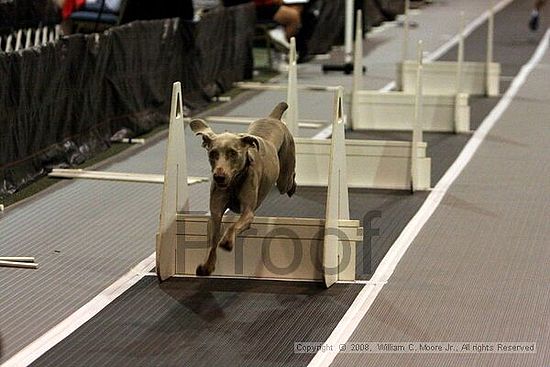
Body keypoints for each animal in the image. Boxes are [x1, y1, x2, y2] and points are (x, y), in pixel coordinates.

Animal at [190, 100, 298, 276]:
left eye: (233, 153)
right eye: (212, 153)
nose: (219, 176)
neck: (234, 182)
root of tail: (272, 118)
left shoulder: (248, 212)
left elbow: (234, 225)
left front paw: (227, 241)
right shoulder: (216, 212)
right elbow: (213, 240)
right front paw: (207, 266)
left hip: (284, 175)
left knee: (289, 179)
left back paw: (293, 187)